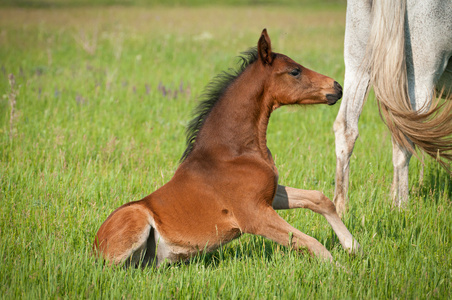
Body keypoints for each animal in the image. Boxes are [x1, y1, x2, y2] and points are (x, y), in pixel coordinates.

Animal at [94, 28, 360, 268]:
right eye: (295, 71)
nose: (336, 87)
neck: (233, 152)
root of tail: (96, 246)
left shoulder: (269, 197)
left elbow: (319, 199)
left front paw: (353, 246)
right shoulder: (253, 216)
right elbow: (312, 243)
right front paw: (343, 271)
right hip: (135, 221)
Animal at [332, 0, 452, 216]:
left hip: (357, 62)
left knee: (346, 128)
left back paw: (340, 209)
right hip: (420, 75)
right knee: (405, 138)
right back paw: (402, 208)